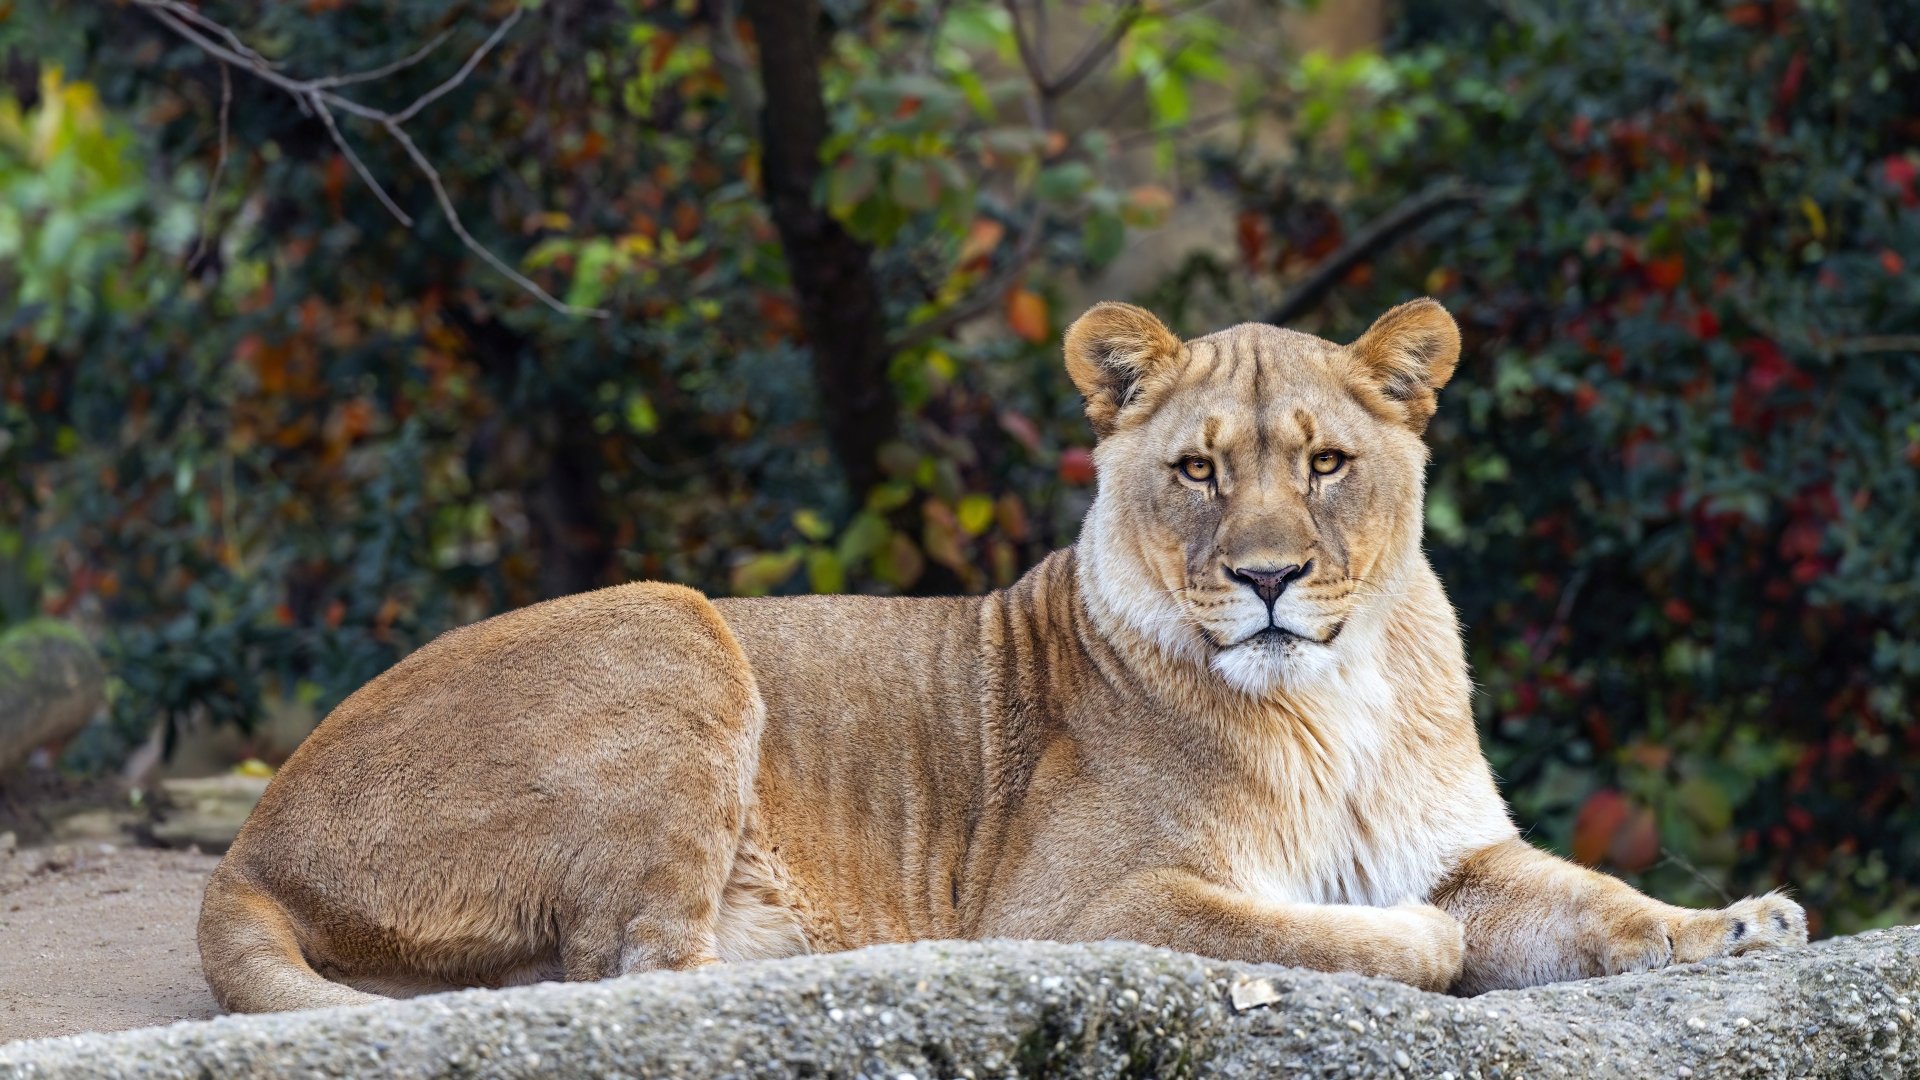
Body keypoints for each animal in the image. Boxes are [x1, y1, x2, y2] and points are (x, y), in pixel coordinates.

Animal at [198, 298, 1805, 1013]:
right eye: (1199, 472)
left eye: (1328, 464)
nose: (1269, 581)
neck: (1332, 694)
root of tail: (252, 837)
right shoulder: (1087, 904)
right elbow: (1299, 925)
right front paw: (1409, 945)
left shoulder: (1465, 849)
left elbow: (1590, 900)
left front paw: (1737, 924)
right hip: (669, 620)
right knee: (627, 968)